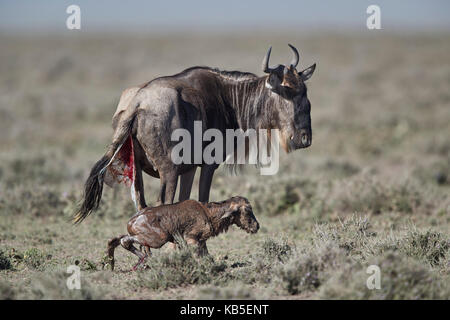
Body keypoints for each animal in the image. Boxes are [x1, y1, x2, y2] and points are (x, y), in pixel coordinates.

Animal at [106, 195, 258, 270]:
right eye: (247, 210)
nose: (257, 226)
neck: (208, 213)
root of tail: (131, 221)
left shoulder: (199, 241)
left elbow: (207, 256)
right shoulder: (191, 238)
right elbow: (198, 256)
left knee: (114, 240)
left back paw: (111, 264)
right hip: (158, 239)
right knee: (124, 241)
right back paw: (147, 259)